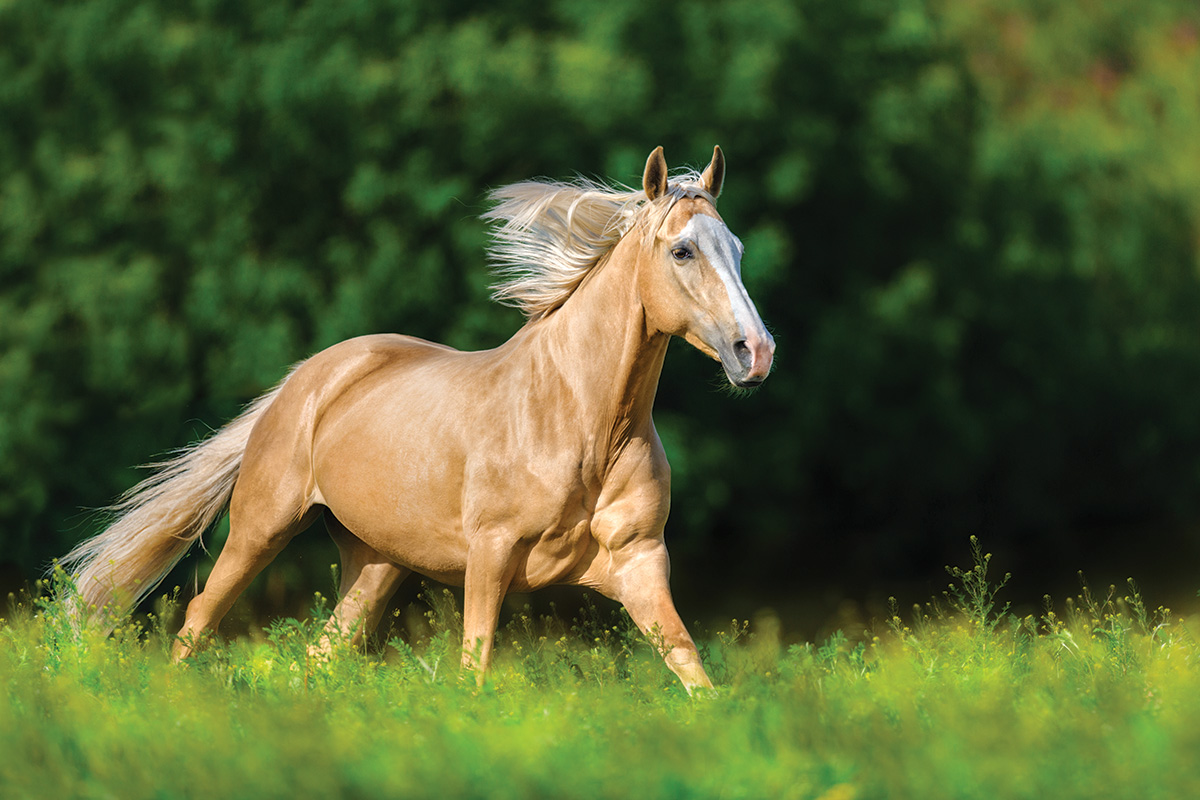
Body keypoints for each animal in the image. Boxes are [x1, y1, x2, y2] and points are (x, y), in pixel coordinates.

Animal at [63, 146, 777, 690]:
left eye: (738, 248)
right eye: (682, 251)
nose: (756, 352)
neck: (582, 423)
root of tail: (305, 379)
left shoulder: (639, 562)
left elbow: (692, 669)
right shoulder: (490, 555)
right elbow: (474, 668)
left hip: (376, 563)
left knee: (321, 652)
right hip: (260, 529)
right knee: (197, 623)